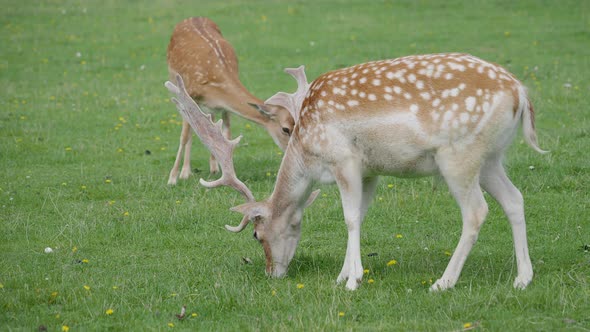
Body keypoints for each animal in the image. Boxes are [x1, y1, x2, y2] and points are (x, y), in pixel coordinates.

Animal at [164, 52, 548, 290]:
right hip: (491, 157)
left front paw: (352, 281)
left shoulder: (344, 159)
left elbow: (349, 217)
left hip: (458, 155)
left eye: (256, 236)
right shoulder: (370, 171)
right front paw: (342, 275)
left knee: (476, 211)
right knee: (515, 199)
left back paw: (443, 282)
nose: (272, 272)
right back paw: (523, 278)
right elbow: (360, 215)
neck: (307, 152)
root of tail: (520, 92)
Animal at [165, 17, 296, 184]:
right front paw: (173, 178)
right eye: (285, 129)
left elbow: (226, 133)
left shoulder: (224, 107)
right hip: (174, 81)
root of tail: (192, 17)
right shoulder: (189, 95)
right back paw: (185, 171)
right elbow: (184, 135)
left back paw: (213, 167)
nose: (291, 154)